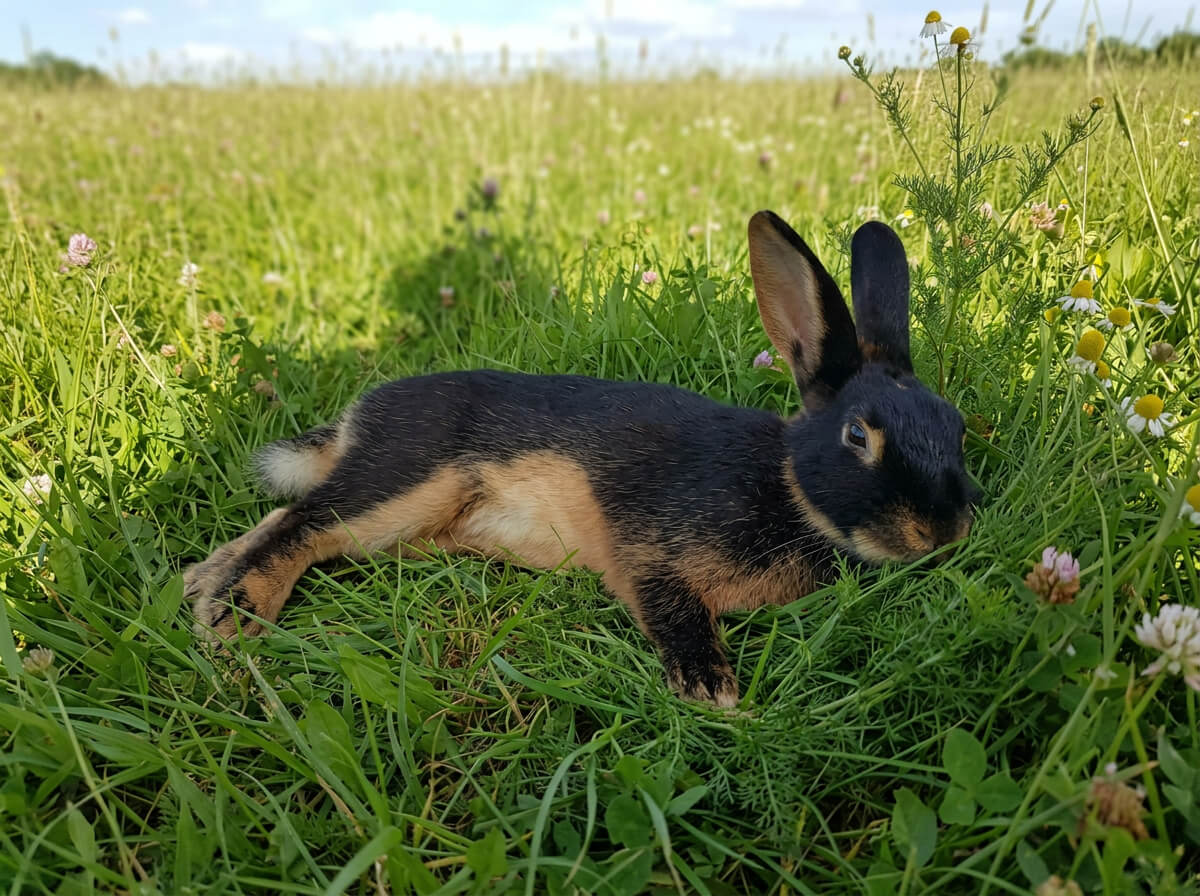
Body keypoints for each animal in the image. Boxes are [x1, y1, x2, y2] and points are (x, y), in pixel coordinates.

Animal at [186, 210, 979, 707]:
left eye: (957, 428)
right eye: (857, 437)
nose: (942, 533)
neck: (788, 486)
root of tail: (359, 418)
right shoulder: (649, 546)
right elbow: (668, 605)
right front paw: (711, 688)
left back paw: (203, 584)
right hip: (406, 482)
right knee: (304, 523)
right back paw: (229, 614)